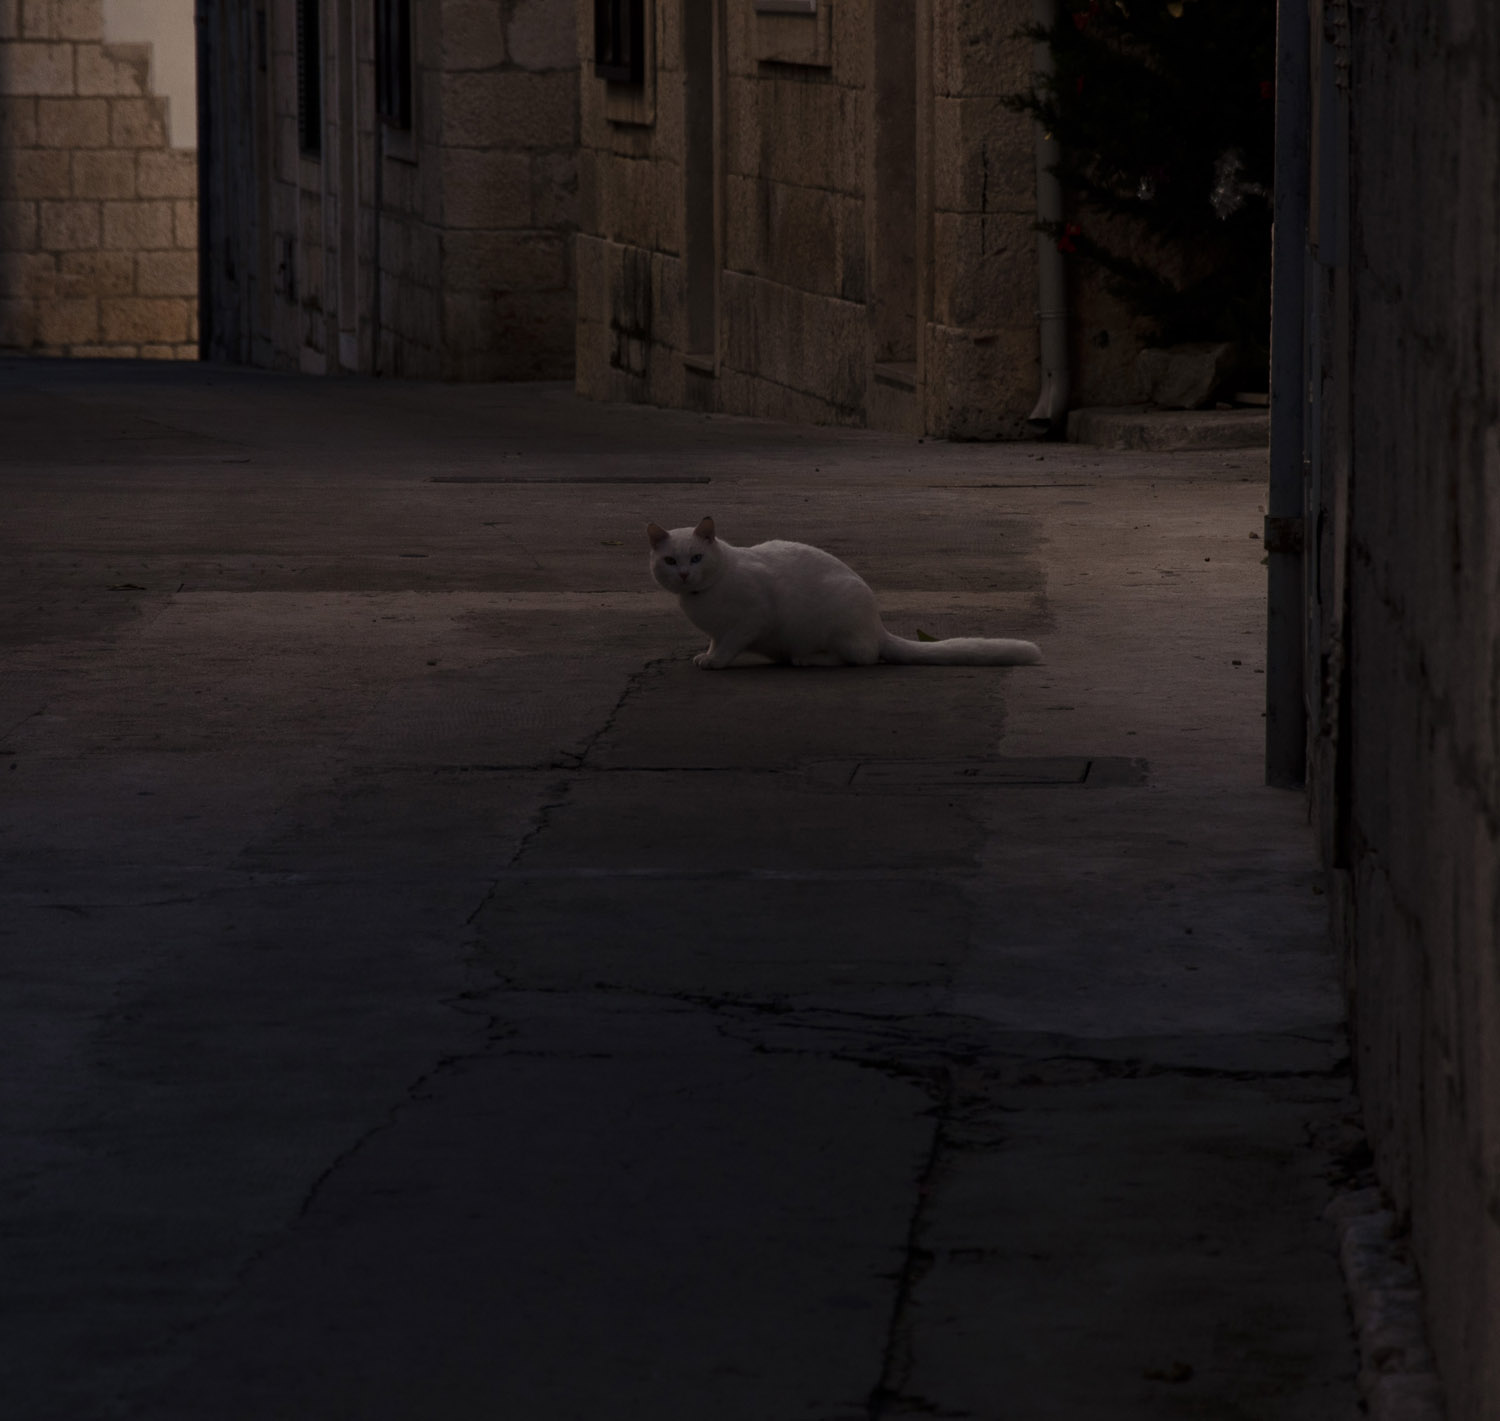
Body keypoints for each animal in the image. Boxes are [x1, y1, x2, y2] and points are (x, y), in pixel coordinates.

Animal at [646, 516, 1042, 669]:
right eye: (670, 560)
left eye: (697, 557)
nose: (684, 574)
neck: (701, 598)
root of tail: (877, 626)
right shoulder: (721, 629)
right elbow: (715, 640)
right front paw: (707, 654)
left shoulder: (752, 618)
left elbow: (728, 644)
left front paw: (715, 661)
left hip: (836, 621)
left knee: (862, 657)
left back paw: (809, 658)